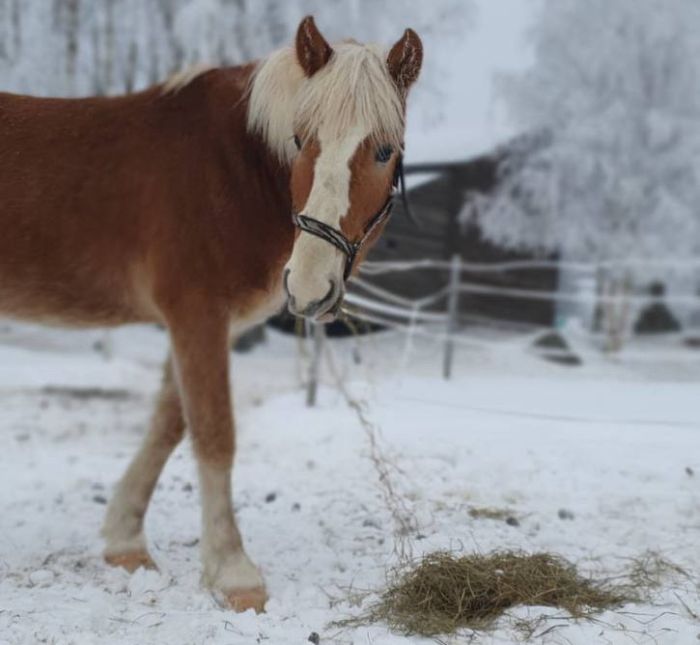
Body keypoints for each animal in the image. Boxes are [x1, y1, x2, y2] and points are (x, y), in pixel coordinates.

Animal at [0, 15, 424, 608]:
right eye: (301, 141)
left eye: (384, 151)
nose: (308, 285)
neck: (232, 170)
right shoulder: (196, 316)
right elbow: (214, 434)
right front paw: (233, 572)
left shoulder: (208, 327)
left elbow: (169, 424)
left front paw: (125, 541)